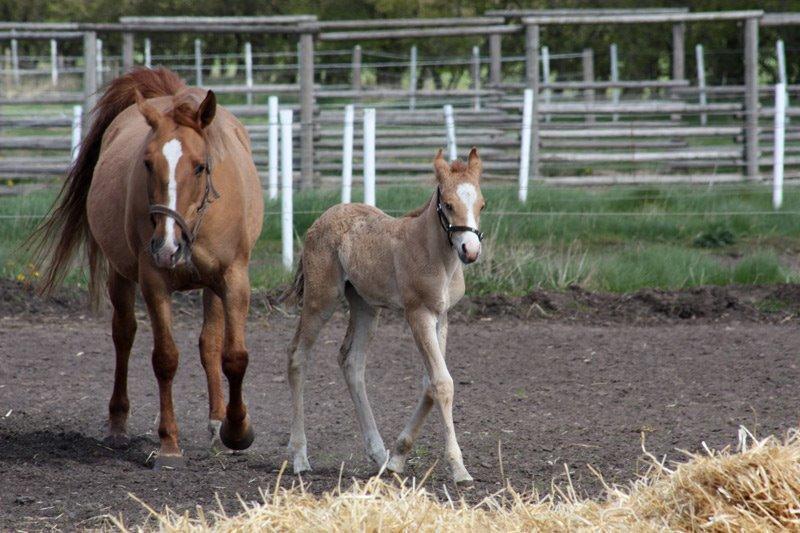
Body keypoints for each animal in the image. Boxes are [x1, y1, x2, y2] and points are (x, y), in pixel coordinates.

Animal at [31, 67, 262, 470]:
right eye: (148, 163)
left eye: (200, 166)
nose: (167, 247)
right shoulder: (153, 282)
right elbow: (165, 359)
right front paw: (169, 444)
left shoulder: (233, 279)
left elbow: (233, 357)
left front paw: (236, 431)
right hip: (120, 275)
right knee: (124, 334)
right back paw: (117, 422)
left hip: (211, 286)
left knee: (210, 344)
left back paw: (217, 421)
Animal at [282, 148, 482, 484]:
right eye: (449, 204)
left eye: (481, 204)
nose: (470, 250)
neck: (436, 256)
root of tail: (321, 219)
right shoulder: (418, 314)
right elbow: (442, 383)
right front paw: (459, 468)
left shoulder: (442, 317)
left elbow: (429, 383)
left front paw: (398, 457)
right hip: (321, 300)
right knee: (297, 354)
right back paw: (299, 457)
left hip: (365, 306)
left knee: (351, 362)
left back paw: (378, 454)